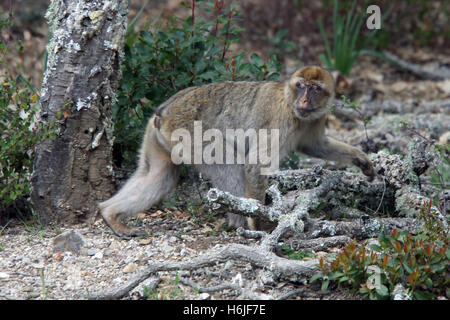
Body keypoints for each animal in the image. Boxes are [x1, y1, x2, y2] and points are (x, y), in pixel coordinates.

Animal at [99, 65, 376, 238]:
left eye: (315, 88)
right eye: (301, 85)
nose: (305, 99)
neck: (291, 104)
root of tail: (164, 111)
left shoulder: (316, 119)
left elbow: (315, 145)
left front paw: (361, 159)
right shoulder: (280, 119)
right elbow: (254, 164)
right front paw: (259, 222)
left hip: (157, 138)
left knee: (157, 175)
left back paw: (109, 213)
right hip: (188, 135)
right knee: (229, 163)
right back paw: (240, 222)